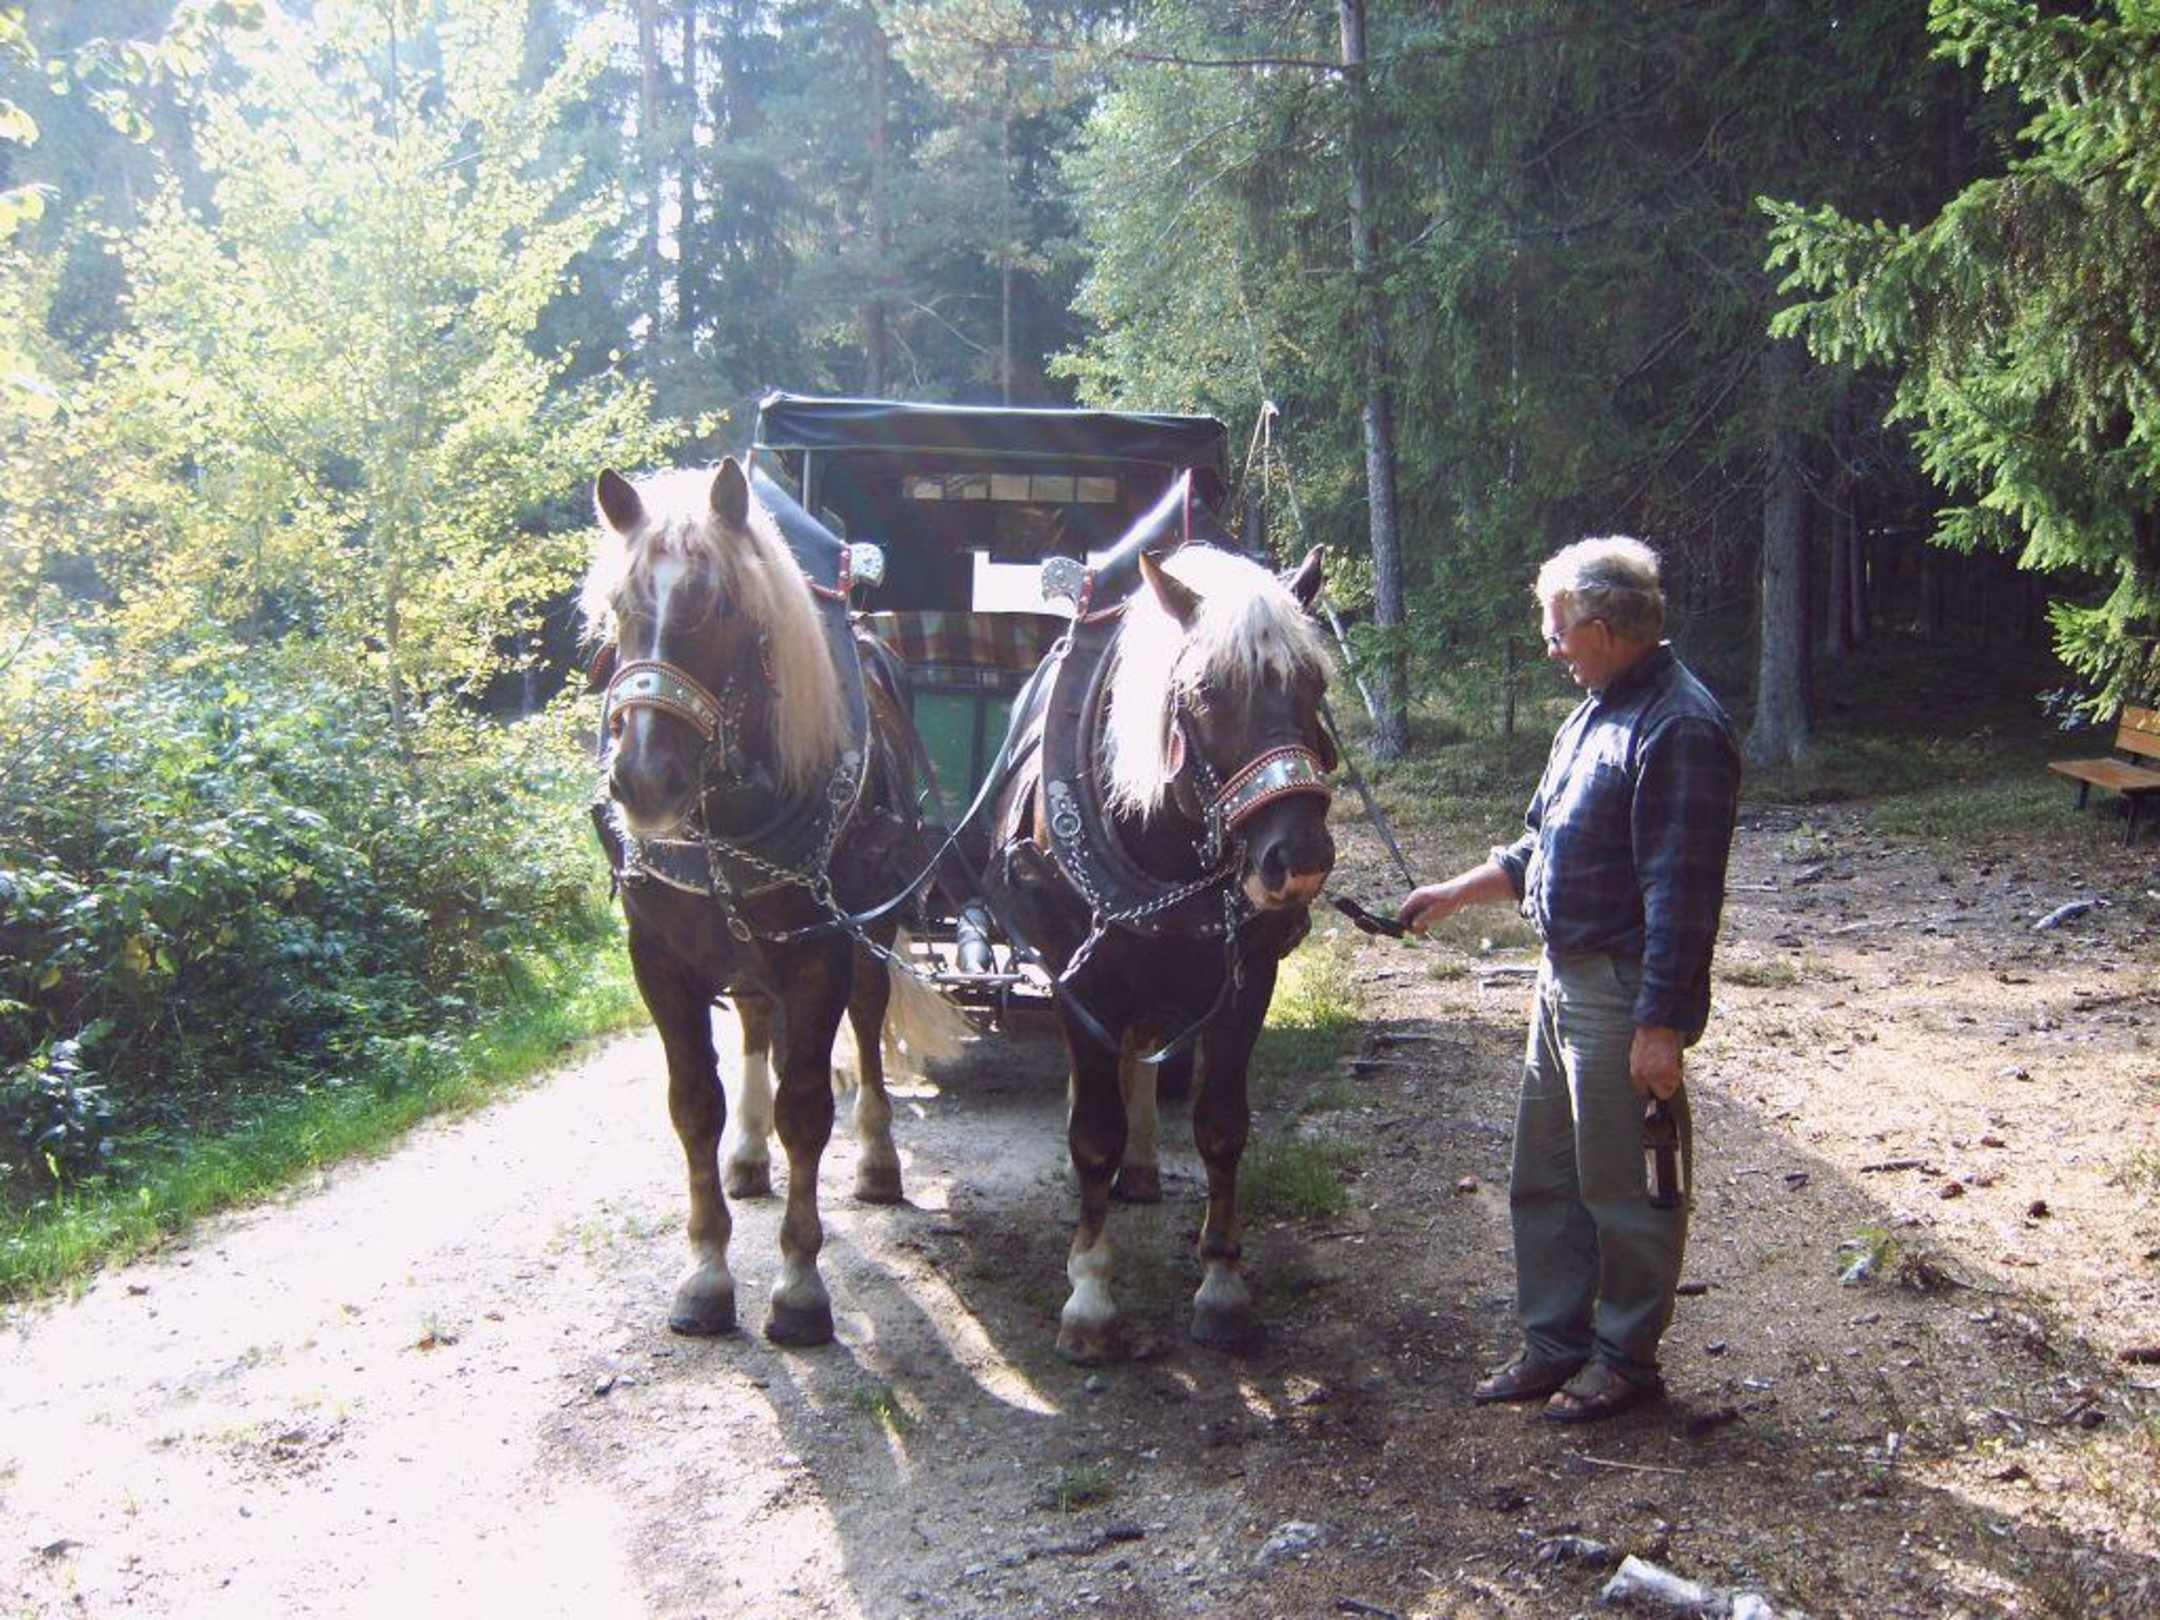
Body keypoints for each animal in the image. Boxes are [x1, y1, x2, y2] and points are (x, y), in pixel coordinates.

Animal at [582, 456, 965, 1346]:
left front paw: (797, 1286)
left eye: (721, 607)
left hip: (866, 932)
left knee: (865, 1024)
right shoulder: (659, 960)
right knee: (756, 1021)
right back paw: (750, 1157)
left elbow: (808, 1108)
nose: (642, 780)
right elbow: (695, 1105)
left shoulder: (820, 953)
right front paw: (706, 1273)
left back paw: (877, 1161)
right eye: (619, 609)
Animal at [987, 474, 1337, 1362]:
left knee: (1144, 1050)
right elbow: (1092, 1134)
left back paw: (1144, 1170)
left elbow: (1221, 1125)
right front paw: (1089, 1296)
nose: (1299, 860)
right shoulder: (1078, 979)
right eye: (1208, 693)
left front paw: (1223, 1286)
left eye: (1314, 689)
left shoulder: (1248, 978)